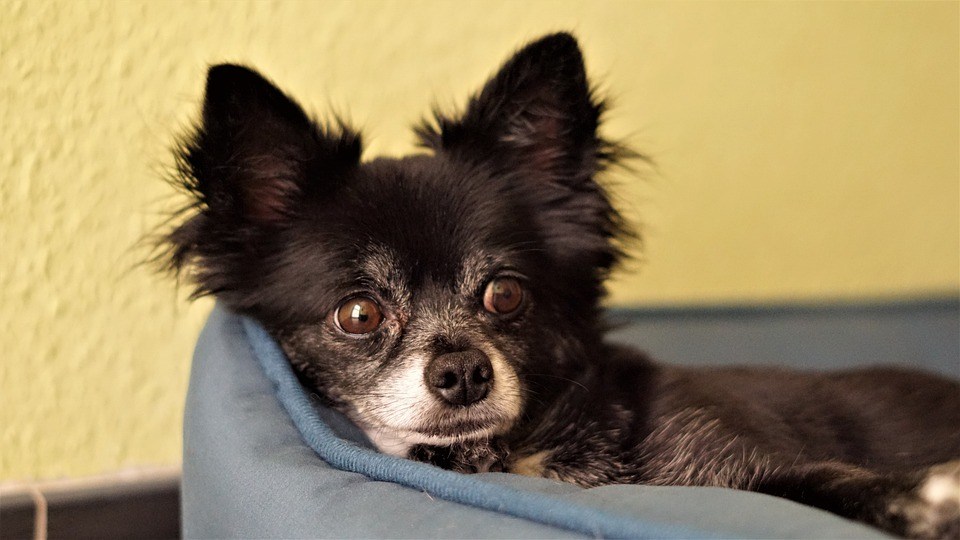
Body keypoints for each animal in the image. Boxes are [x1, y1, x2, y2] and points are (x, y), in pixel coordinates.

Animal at [163, 32, 960, 536]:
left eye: (505, 295)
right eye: (359, 314)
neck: (516, 456)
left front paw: (921, 497)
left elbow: (819, 480)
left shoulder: (746, 466)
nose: (462, 371)